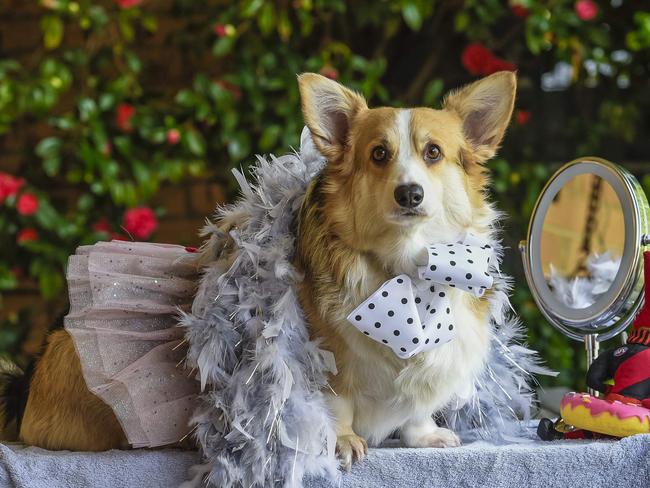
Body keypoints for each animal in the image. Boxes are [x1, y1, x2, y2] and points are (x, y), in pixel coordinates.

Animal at [292, 71, 512, 468]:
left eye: (433, 152)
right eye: (379, 153)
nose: (409, 193)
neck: (409, 268)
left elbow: (417, 403)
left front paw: (423, 435)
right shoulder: (329, 355)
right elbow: (337, 402)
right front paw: (341, 440)